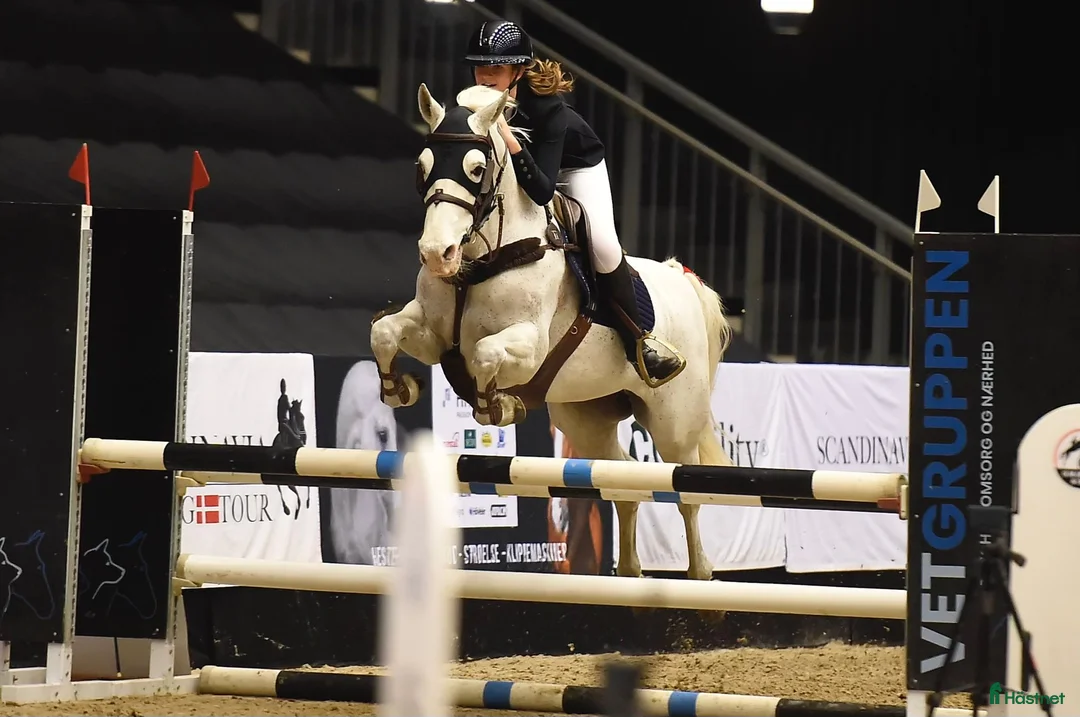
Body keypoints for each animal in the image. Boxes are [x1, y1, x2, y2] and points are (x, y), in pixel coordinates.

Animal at [370, 83, 734, 580]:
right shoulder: (431, 333)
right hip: (587, 416)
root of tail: (685, 279)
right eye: (422, 167)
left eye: (477, 169)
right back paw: (629, 575)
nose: (436, 254)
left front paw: (496, 406)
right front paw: (398, 388)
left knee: (685, 491)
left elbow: (485, 355)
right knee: (623, 481)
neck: (480, 259)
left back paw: (700, 579)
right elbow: (385, 332)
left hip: (674, 420)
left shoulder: (529, 345)